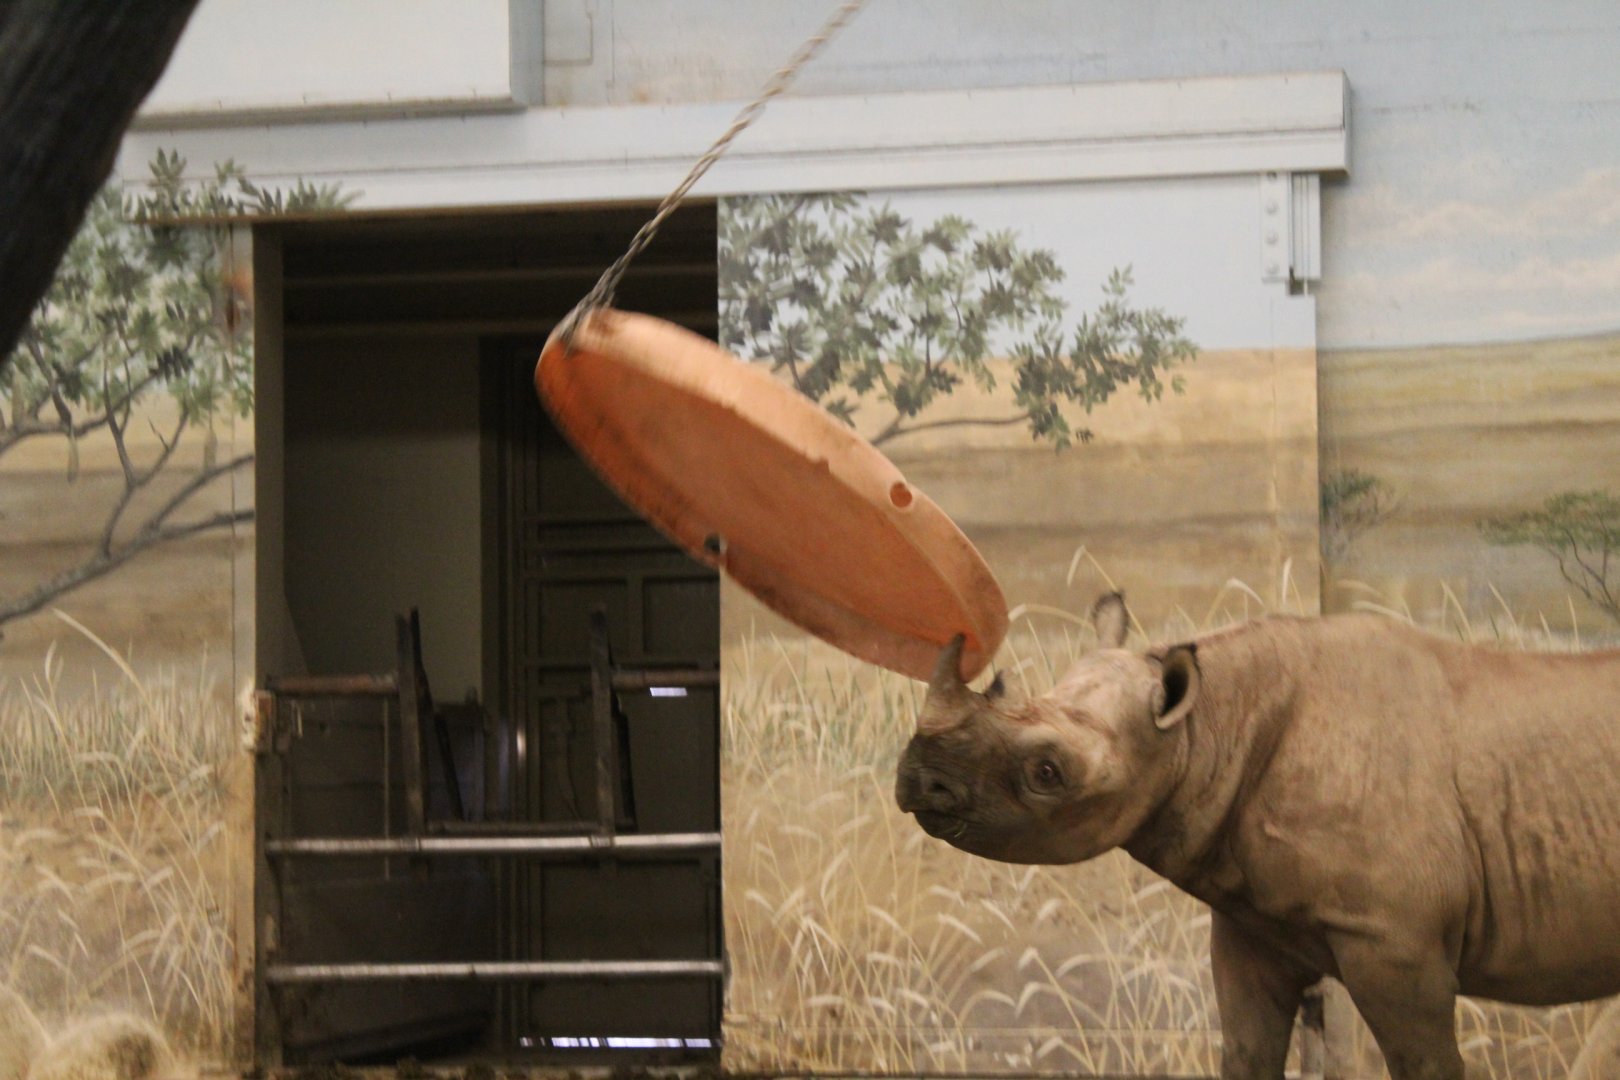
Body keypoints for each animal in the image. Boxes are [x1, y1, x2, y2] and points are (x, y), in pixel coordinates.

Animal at [895, 593, 1620, 1080]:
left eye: (1048, 772)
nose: (916, 780)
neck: (1205, 728)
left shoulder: (1391, 937)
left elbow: (1423, 1062)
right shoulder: (1252, 923)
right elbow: (1247, 1048)